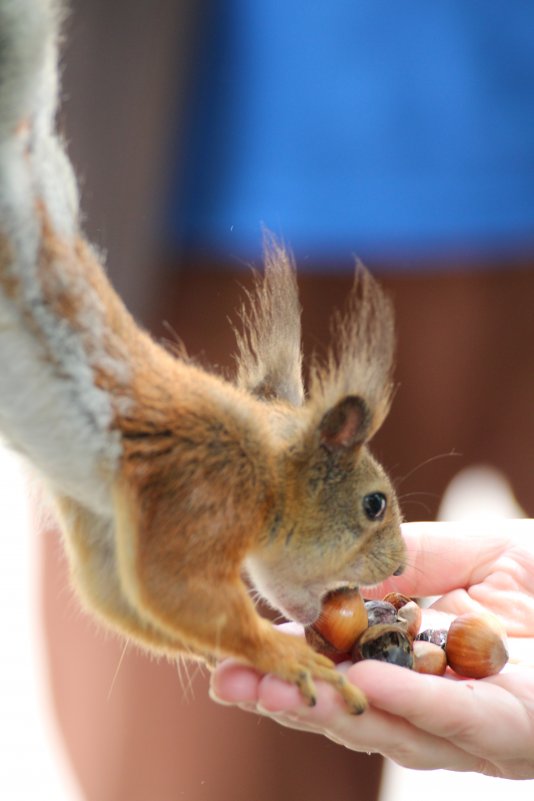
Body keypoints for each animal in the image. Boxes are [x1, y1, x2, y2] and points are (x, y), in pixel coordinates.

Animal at [0, 0, 406, 712]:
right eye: (373, 504)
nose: (403, 566)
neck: (269, 472)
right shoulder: (206, 491)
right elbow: (178, 591)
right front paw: (288, 657)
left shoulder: (109, 523)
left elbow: (123, 601)